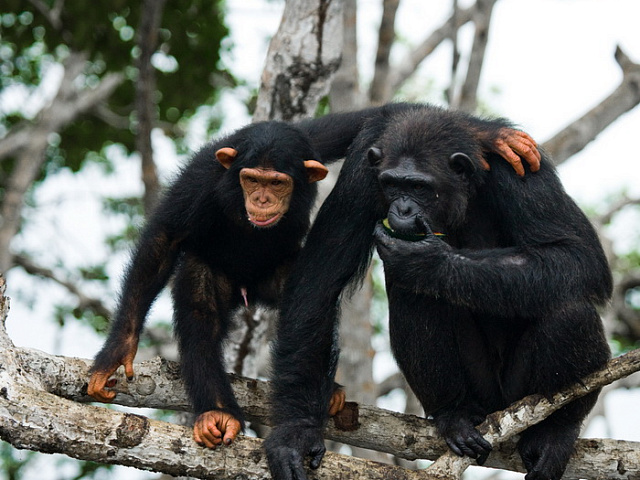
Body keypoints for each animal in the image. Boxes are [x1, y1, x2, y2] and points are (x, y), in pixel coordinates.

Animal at [87, 102, 544, 450]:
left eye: (277, 182)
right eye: (250, 179)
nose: (262, 198)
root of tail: (248, 290)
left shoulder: (311, 142)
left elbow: (374, 118)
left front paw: (489, 135)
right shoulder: (200, 179)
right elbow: (162, 242)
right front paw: (117, 350)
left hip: (278, 276)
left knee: (304, 295)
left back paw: (328, 389)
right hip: (213, 274)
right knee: (201, 313)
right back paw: (216, 411)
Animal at [264, 105, 608, 480]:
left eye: (419, 187)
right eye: (392, 184)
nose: (402, 209)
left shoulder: (525, 177)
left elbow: (578, 256)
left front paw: (429, 261)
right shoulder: (361, 175)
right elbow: (319, 281)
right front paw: (296, 432)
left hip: (518, 396)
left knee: (570, 312)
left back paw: (554, 433)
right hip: (480, 393)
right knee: (411, 294)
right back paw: (454, 415)